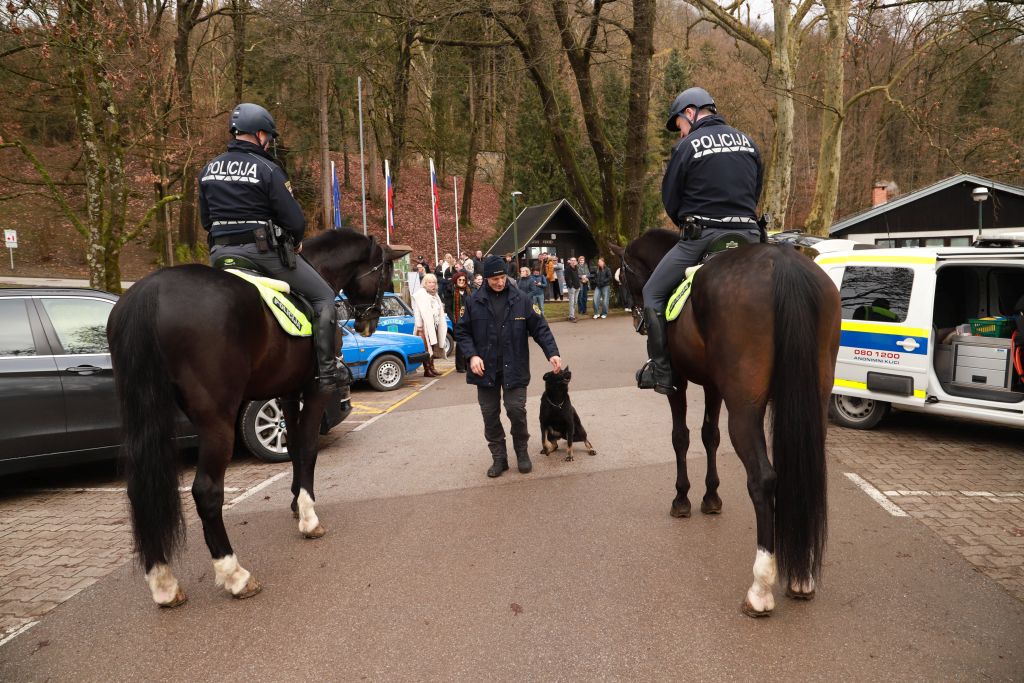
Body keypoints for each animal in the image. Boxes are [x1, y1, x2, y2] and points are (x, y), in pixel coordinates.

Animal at [107, 230, 409, 607]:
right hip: (216, 419)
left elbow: (293, 448)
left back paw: (163, 582)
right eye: (385, 272)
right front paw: (308, 516)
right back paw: (234, 574)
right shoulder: (314, 391)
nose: (370, 321)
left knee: (141, 490)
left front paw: (296, 502)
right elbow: (308, 448)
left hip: (148, 416)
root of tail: (150, 289)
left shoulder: (288, 393)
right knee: (206, 491)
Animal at [611, 229, 841, 617]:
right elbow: (709, 436)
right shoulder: (713, 385)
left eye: (622, 275)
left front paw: (682, 498)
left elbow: (681, 437)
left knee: (763, 479)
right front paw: (711, 496)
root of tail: (785, 264)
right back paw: (801, 578)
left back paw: (760, 588)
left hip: (744, 408)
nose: (634, 314)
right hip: (814, 398)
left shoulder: (679, 383)